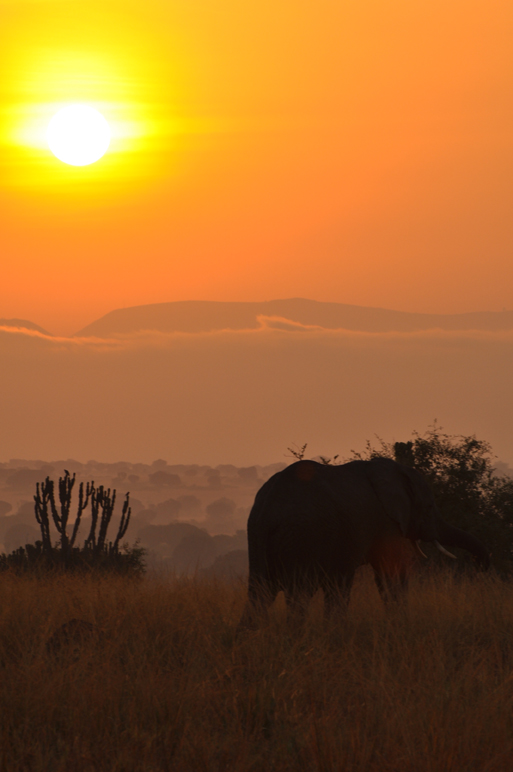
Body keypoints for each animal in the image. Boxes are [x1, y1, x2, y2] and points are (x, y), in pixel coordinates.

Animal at [239, 458, 488, 628]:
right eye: (428, 507)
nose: (480, 568)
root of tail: (267, 508)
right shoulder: (386, 521)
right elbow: (390, 573)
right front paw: (400, 625)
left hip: (258, 537)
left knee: (259, 594)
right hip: (300, 537)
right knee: (299, 595)